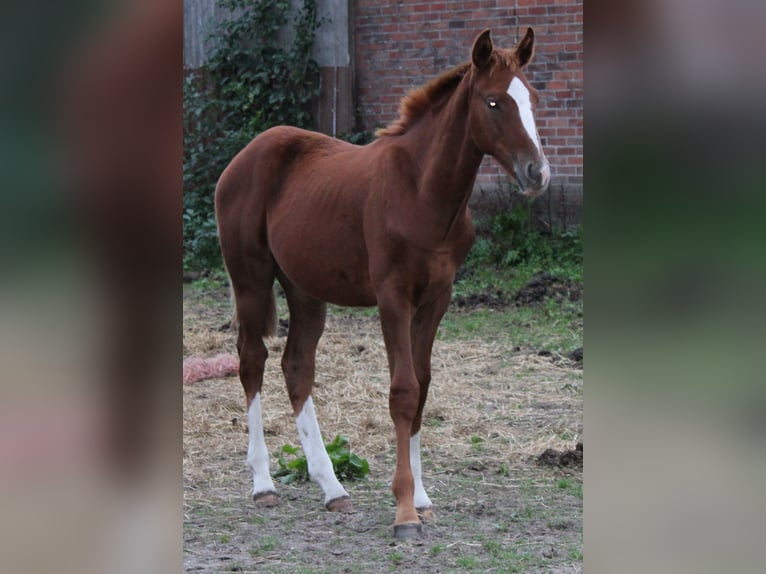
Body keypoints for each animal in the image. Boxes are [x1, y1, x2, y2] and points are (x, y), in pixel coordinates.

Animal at [216, 28, 552, 540]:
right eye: (493, 102)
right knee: (252, 361)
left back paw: (332, 488)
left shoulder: (437, 299)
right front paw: (405, 511)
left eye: (532, 98)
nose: (538, 173)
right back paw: (263, 484)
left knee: (297, 366)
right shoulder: (393, 298)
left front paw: (423, 498)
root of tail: (244, 155)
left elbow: (424, 385)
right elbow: (403, 391)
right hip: (250, 279)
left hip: (305, 290)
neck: (421, 191)